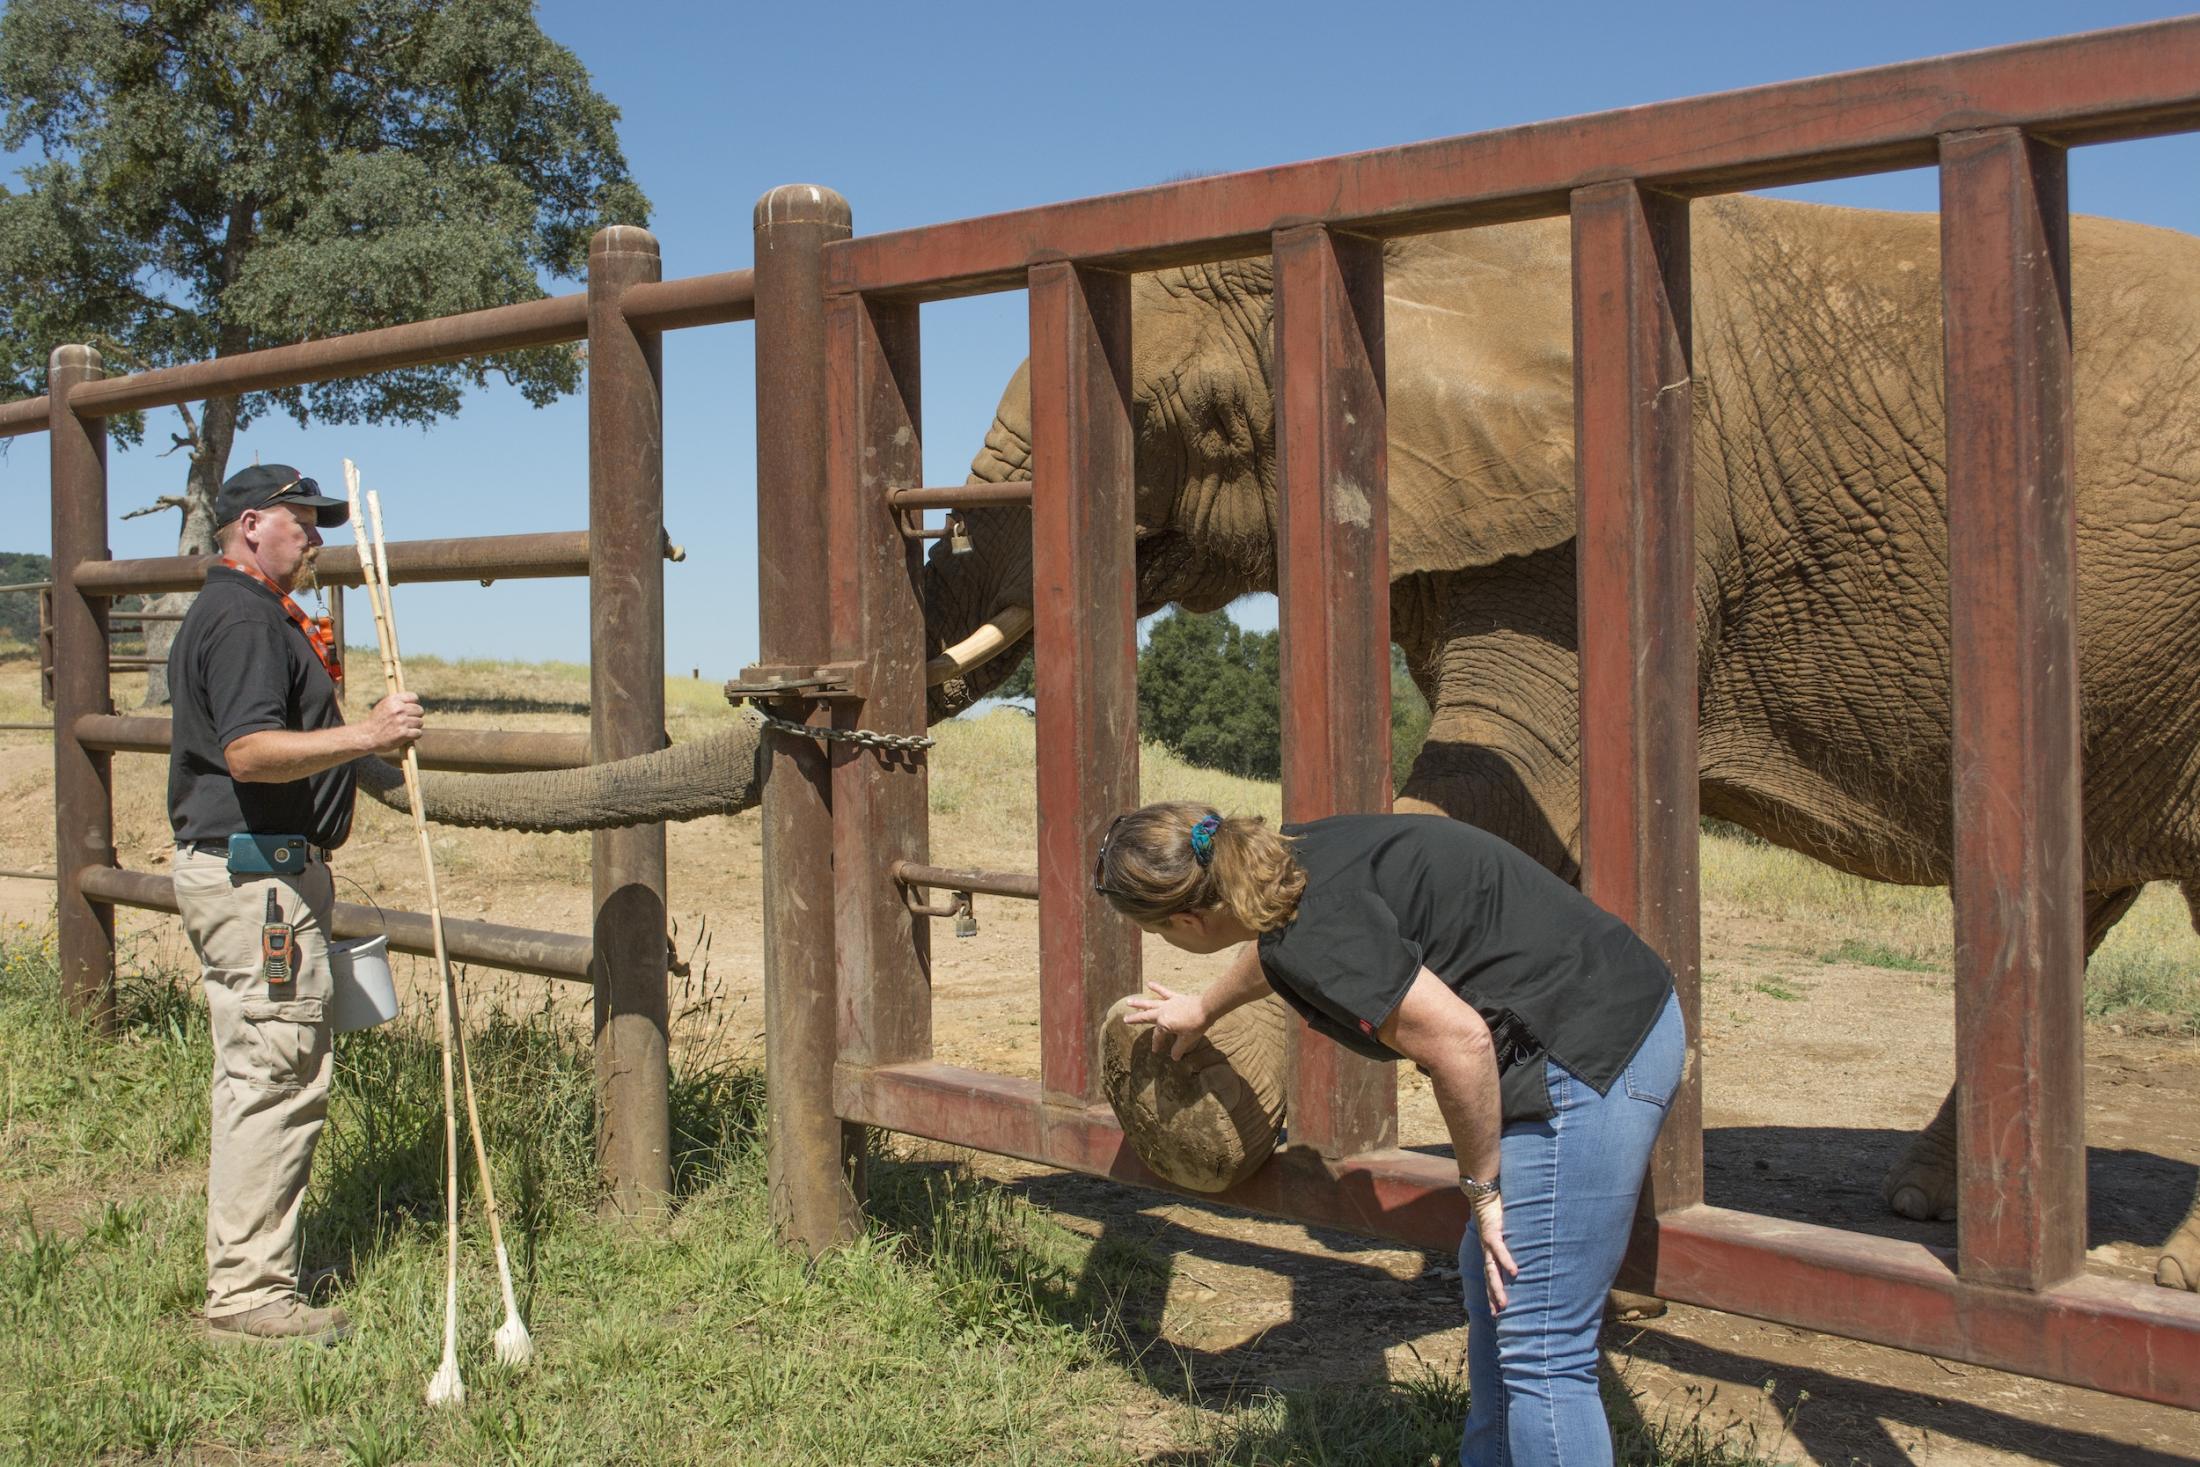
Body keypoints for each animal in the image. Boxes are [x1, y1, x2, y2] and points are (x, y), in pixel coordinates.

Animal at [369, 192, 2200, 1284]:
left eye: (1203, 422)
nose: (799, 697)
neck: (1467, 237)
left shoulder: (1627, 503)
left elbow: (1494, 792)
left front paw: (1181, 1112)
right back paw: (1931, 1213)